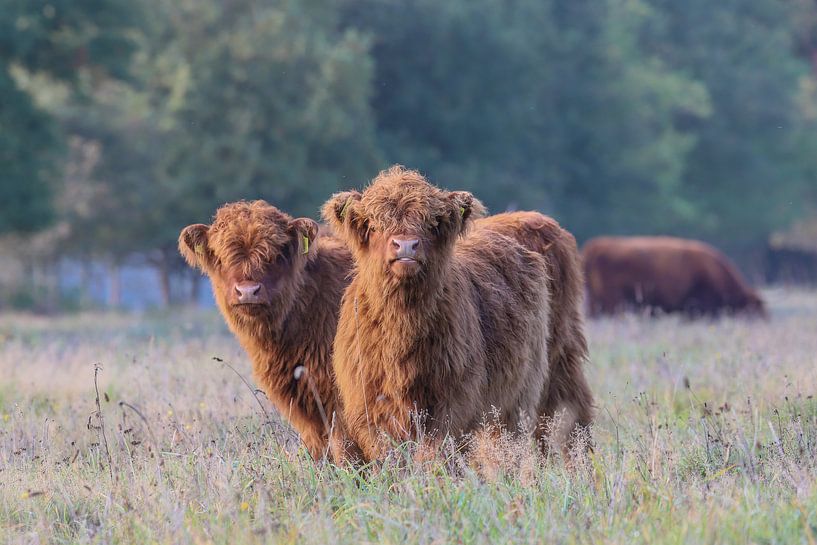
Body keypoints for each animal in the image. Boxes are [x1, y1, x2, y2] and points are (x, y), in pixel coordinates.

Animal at [324, 165, 592, 460]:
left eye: (432, 224)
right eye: (373, 225)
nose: (405, 245)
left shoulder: (453, 401)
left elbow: (435, 452)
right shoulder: (369, 404)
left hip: (544, 371)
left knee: (560, 416)